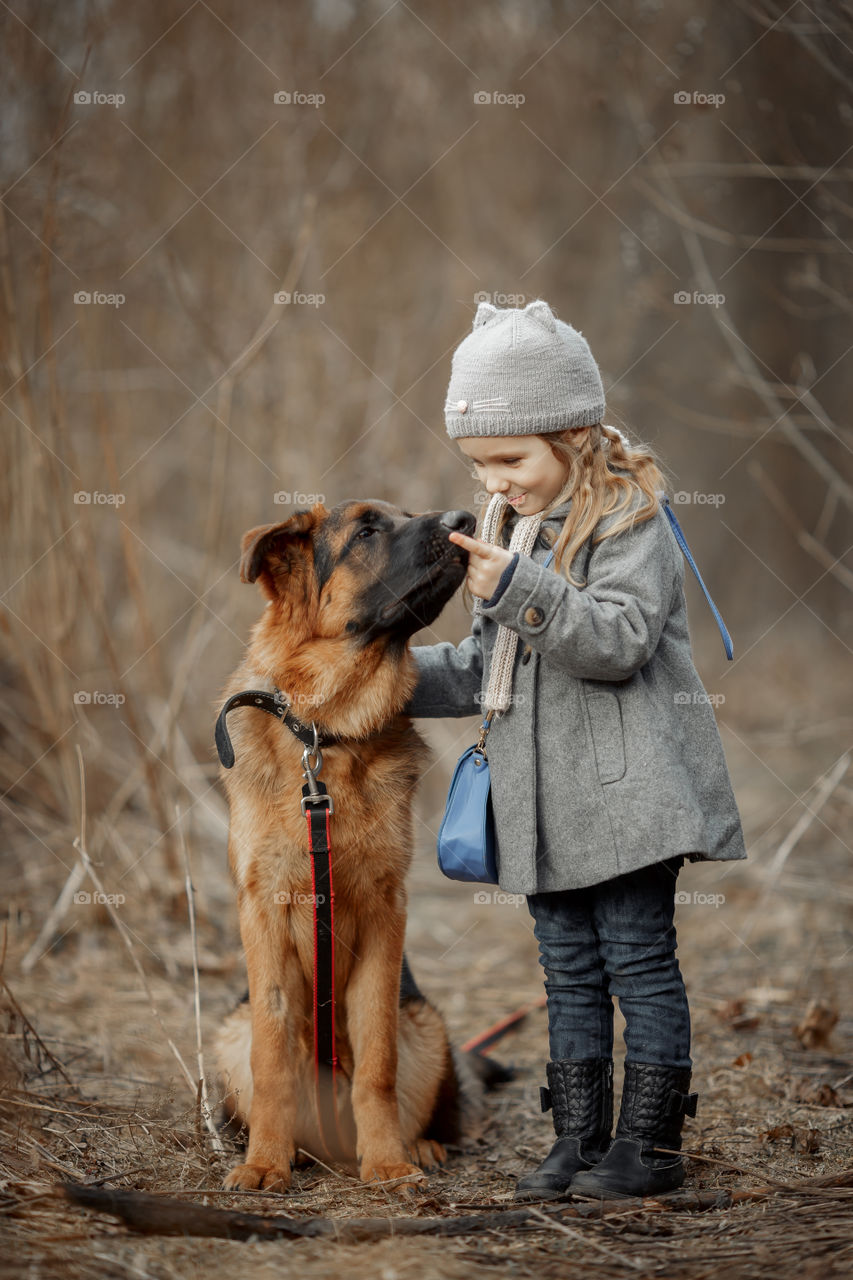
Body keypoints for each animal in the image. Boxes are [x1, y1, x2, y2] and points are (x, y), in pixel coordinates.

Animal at [213, 496, 504, 1187]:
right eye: (368, 529)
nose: (465, 517)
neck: (327, 734)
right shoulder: (263, 914)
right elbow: (273, 1058)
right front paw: (265, 1162)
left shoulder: (383, 916)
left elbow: (377, 1062)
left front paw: (389, 1162)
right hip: (231, 1033)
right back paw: (289, 1148)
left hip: (426, 1028)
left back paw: (417, 1145)